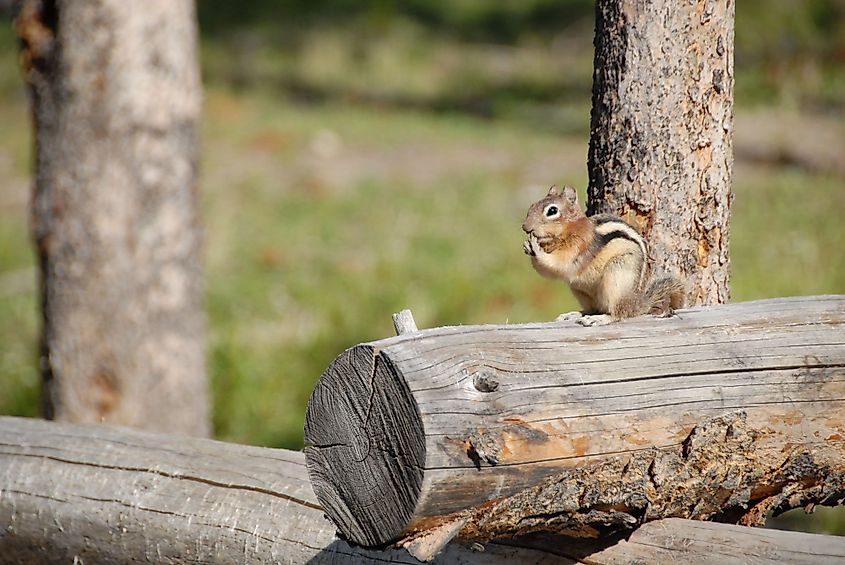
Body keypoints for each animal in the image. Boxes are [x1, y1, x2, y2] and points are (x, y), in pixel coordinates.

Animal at [520, 185, 684, 326]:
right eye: (533, 205)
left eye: (552, 210)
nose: (525, 227)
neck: (570, 228)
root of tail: (636, 304)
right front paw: (528, 246)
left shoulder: (578, 245)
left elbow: (559, 264)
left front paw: (535, 247)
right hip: (580, 289)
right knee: (593, 309)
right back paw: (573, 315)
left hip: (617, 275)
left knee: (618, 313)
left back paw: (599, 319)